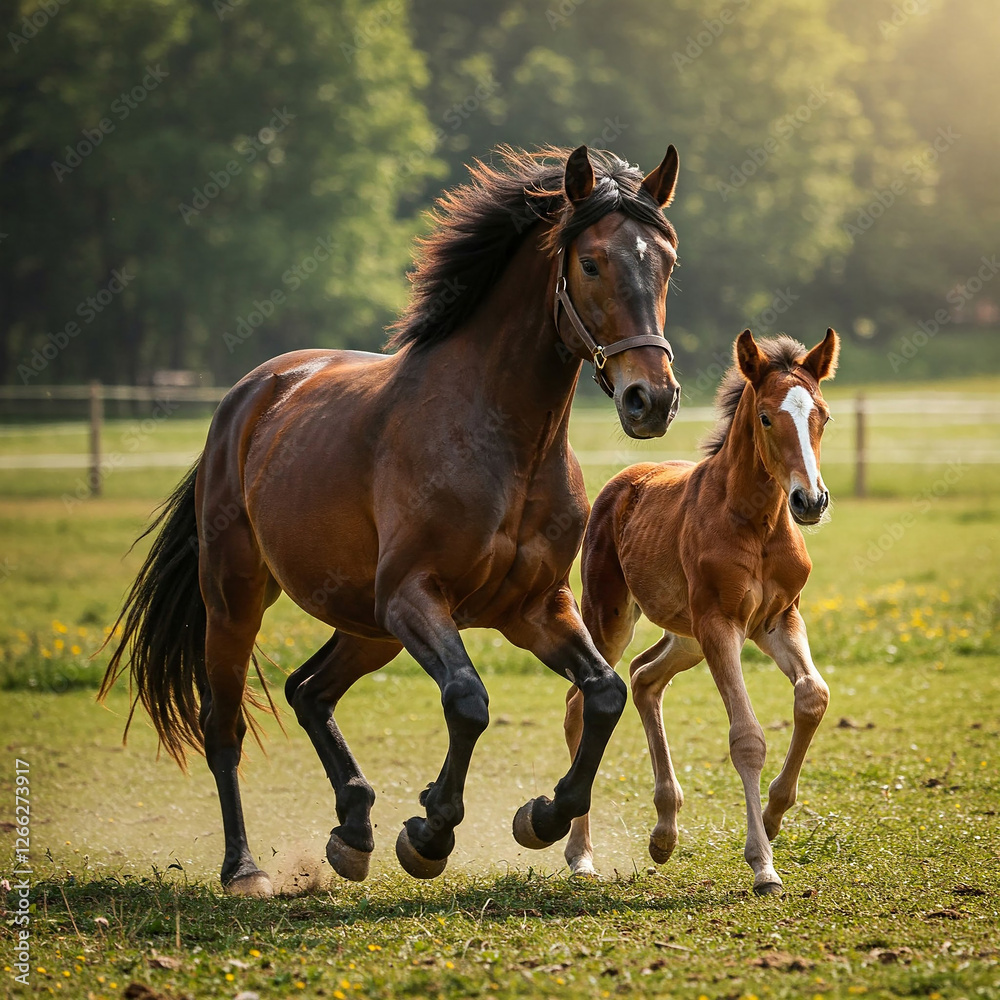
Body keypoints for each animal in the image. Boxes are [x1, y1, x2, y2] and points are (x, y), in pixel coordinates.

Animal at [100, 143, 684, 896]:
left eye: (666, 261)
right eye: (591, 262)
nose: (652, 400)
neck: (503, 441)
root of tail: (252, 395)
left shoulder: (534, 609)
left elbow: (604, 693)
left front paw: (541, 816)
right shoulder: (415, 595)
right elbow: (468, 699)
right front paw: (431, 831)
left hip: (367, 625)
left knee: (308, 690)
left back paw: (353, 830)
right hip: (239, 601)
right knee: (222, 726)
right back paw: (245, 868)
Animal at [562, 328, 839, 894]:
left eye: (822, 415)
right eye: (766, 417)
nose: (810, 501)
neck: (757, 521)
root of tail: (623, 480)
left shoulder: (778, 620)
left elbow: (813, 697)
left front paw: (774, 817)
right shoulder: (721, 625)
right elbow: (747, 737)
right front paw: (763, 865)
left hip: (685, 637)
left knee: (644, 678)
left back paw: (664, 832)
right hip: (612, 616)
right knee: (581, 702)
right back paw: (581, 854)